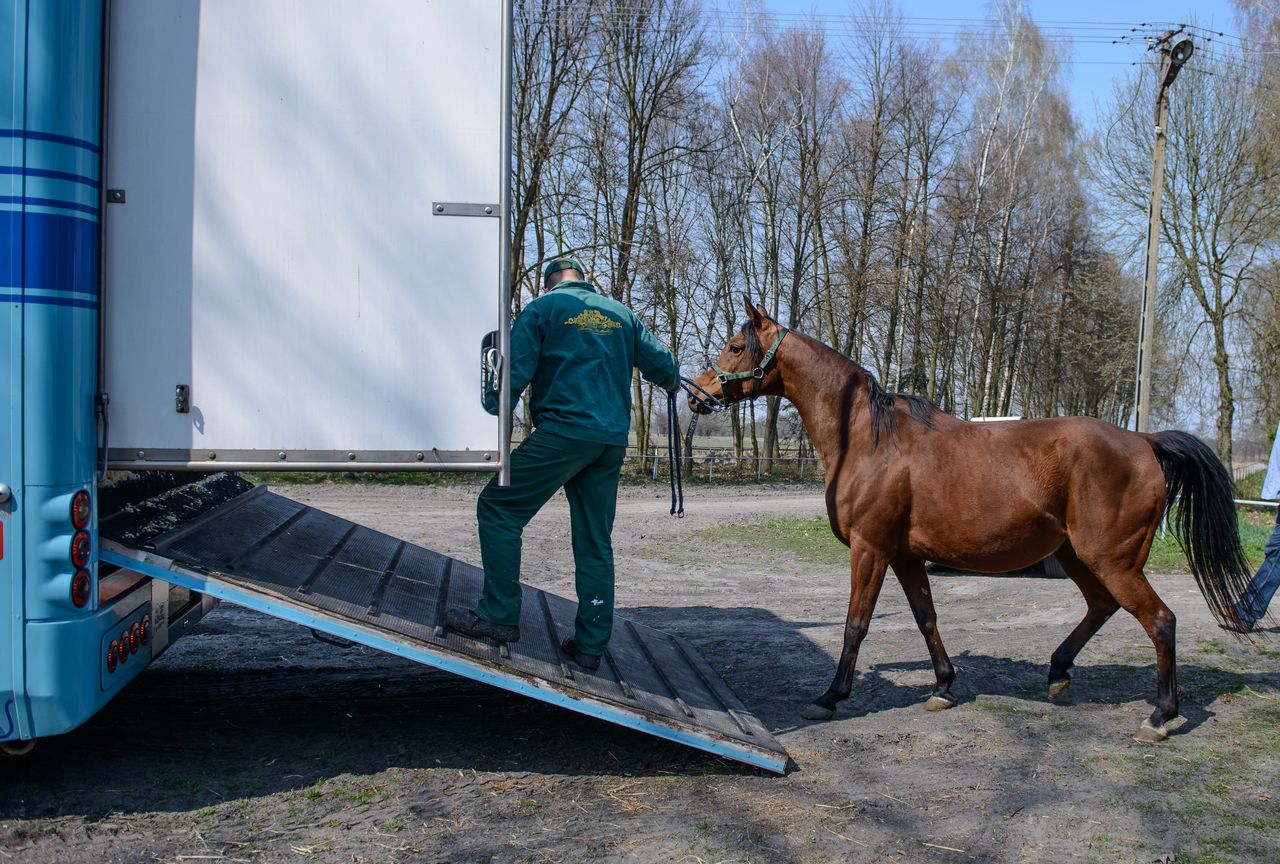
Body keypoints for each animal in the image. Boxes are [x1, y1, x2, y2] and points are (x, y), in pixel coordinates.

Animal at [691, 299, 1249, 742]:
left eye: (736, 347)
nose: (697, 395)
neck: (869, 439)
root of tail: (1144, 441)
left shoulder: (871, 549)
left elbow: (855, 624)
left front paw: (830, 697)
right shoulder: (905, 556)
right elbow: (926, 618)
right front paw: (942, 686)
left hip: (1111, 558)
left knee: (1160, 620)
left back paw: (1161, 715)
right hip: (1076, 554)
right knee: (1102, 606)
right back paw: (1058, 673)